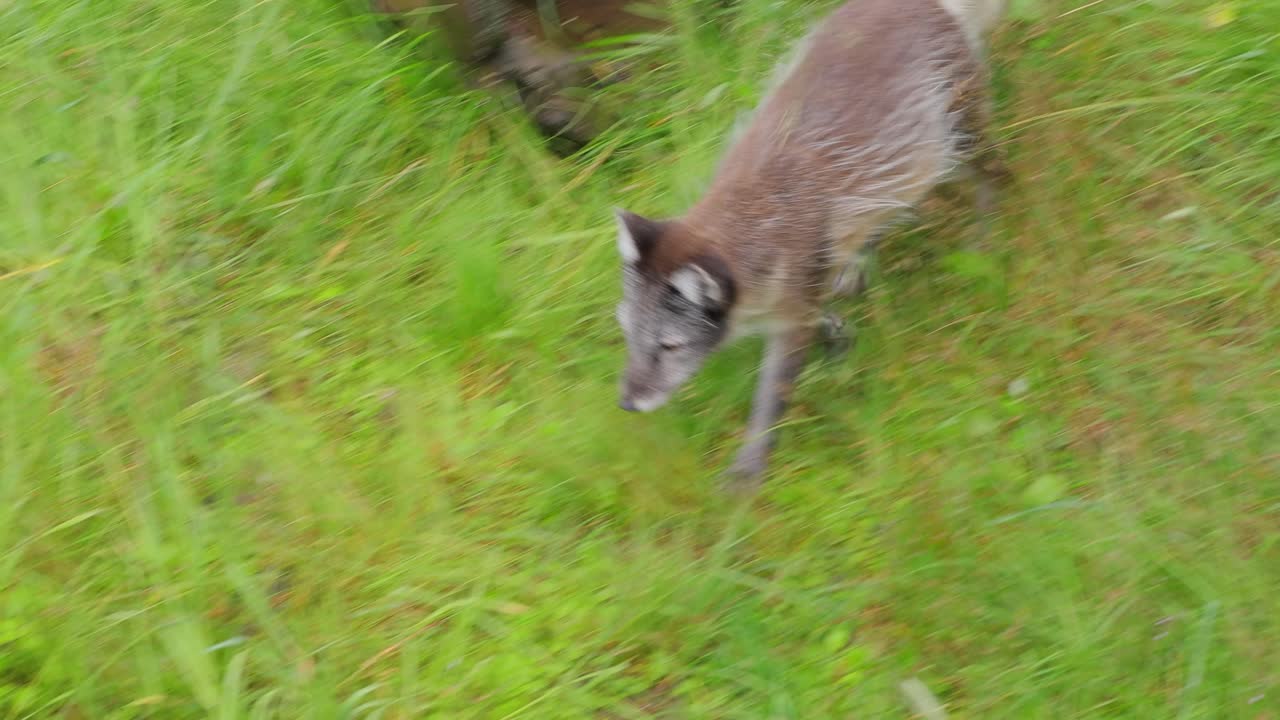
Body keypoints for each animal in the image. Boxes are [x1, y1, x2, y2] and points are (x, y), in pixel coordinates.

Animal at [611, 0, 1009, 488]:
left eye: (669, 347)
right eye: (627, 332)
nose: (628, 404)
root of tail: (924, 5)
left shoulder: (791, 314)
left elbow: (771, 397)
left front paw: (749, 469)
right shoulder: (796, 299)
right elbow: (822, 318)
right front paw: (839, 336)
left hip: (960, 137)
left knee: (998, 176)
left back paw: (986, 240)